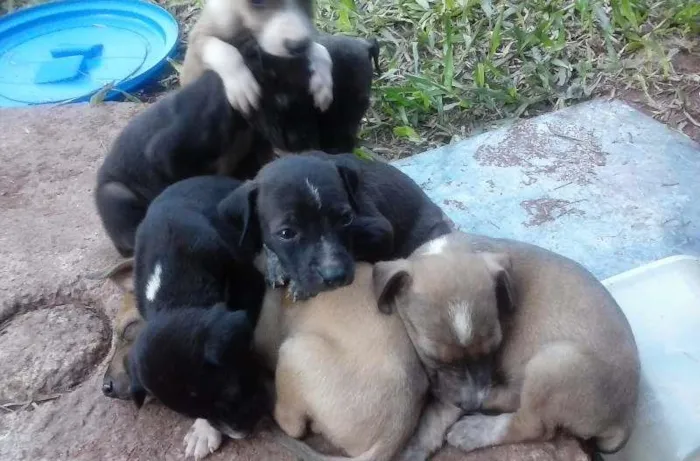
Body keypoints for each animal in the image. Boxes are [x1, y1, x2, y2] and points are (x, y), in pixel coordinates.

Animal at [180, 0, 334, 116]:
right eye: (257, 1)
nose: (298, 46)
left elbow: (322, 51)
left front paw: (322, 80)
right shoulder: (197, 41)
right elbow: (225, 51)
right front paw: (241, 85)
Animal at [216, 151, 454, 300]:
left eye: (346, 218)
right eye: (286, 233)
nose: (335, 277)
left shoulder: (381, 230)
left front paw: (300, 286)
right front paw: (276, 265)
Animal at [374, 232, 644, 458]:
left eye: (494, 348)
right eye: (434, 358)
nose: (471, 404)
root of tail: (625, 419)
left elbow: (442, 408)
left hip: (554, 362)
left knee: (533, 426)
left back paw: (477, 428)